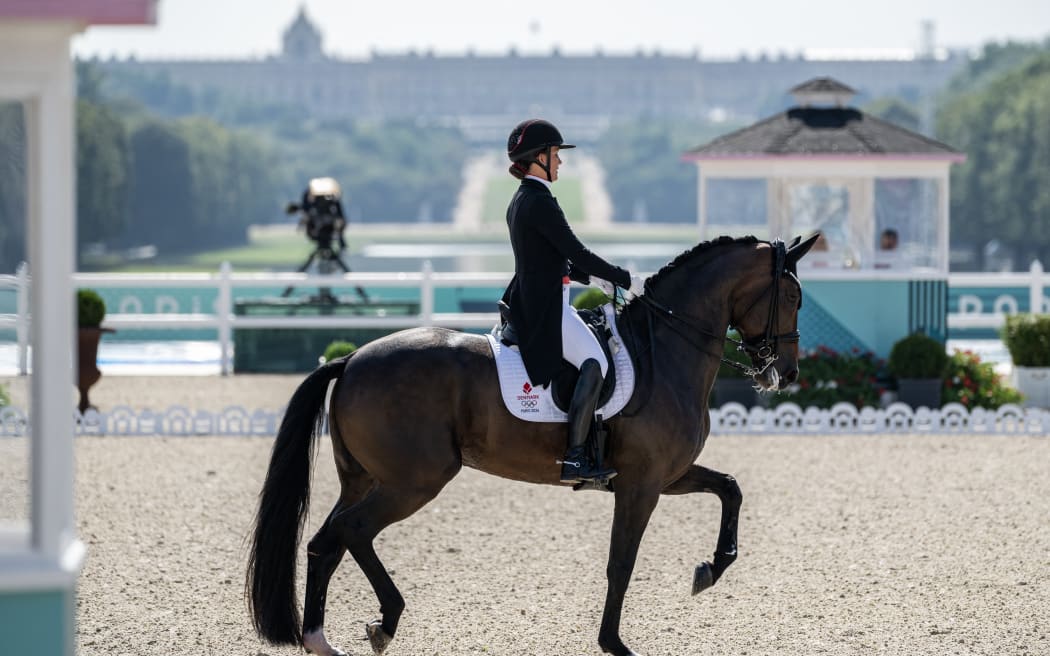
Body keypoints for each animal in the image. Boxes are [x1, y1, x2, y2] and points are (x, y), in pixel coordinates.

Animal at [247, 234, 818, 654]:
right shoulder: (642, 485)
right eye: (793, 298)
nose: (786, 374)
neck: (665, 349)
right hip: (415, 481)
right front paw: (614, 644)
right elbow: (621, 562)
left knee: (325, 543)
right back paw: (385, 622)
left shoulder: (665, 475)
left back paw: (320, 639)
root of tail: (349, 359)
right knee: (354, 531)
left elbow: (731, 488)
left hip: (365, 478)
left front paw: (710, 570)